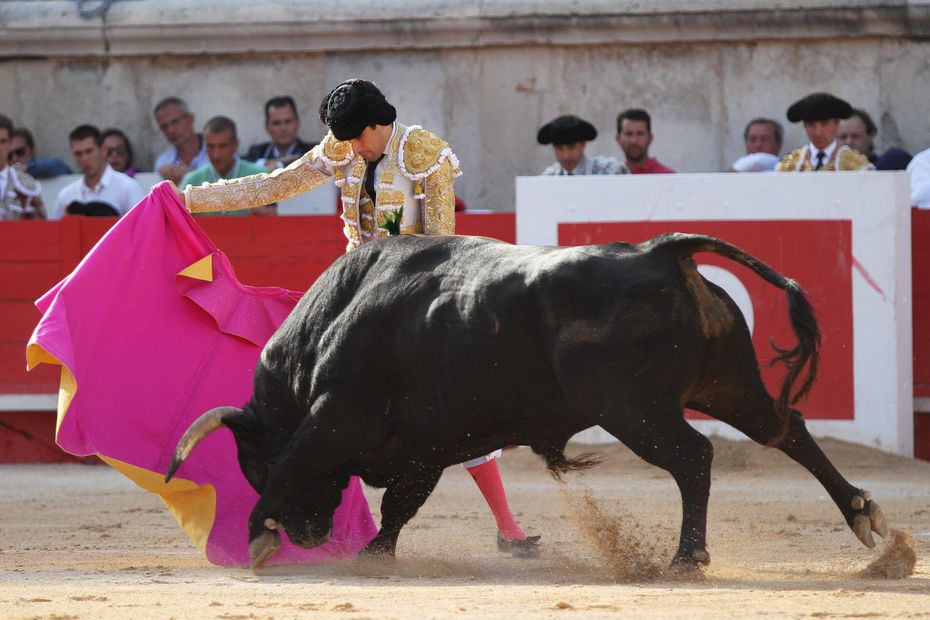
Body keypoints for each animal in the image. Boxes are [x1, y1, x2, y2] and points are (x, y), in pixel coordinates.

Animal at [165, 232, 884, 572]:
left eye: (251, 462)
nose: (310, 534)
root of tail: (661, 252)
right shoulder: (427, 446)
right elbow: (400, 507)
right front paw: (373, 558)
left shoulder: (337, 416)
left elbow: (299, 464)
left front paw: (259, 537)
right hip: (726, 383)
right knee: (785, 429)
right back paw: (865, 519)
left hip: (633, 410)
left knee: (694, 457)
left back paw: (686, 559)